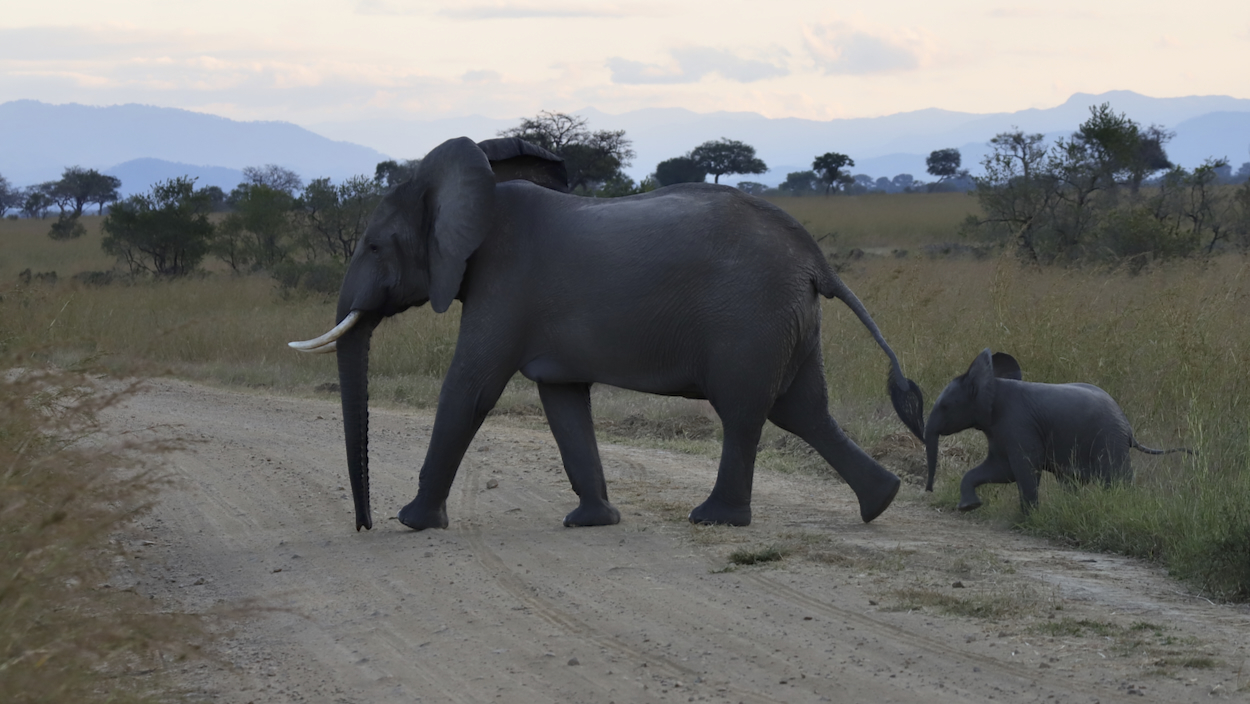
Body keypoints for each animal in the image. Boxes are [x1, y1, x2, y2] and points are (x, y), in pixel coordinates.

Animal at [287, 137, 925, 532]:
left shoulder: (504, 286)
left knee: (746, 411)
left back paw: (714, 518)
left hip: (752, 317)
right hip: (789, 320)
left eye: (373, 246)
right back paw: (882, 502)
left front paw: (412, 522)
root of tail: (816, 259)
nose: (364, 523)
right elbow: (563, 401)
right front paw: (593, 522)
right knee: (803, 410)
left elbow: (469, 388)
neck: (482, 195)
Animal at [925, 350, 1185, 512]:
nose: (928, 490)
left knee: (1117, 480)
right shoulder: (1001, 430)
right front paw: (968, 507)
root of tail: (1128, 428)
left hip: (1110, 441)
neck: (993, 383)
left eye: (945, 406)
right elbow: (1001, 469)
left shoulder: (1018, 424)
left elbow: (1023, 469)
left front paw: (1028, 519)